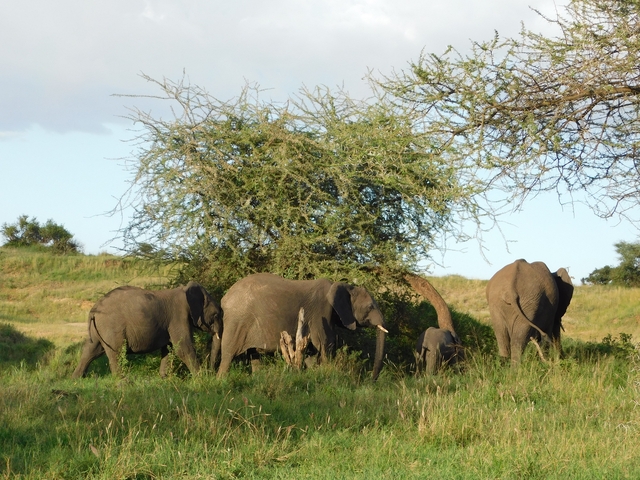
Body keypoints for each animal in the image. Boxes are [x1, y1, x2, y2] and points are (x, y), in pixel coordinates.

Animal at [72, 282, 222, 378]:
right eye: (216, 314)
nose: (212, 373)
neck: (185, 289)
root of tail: (93, 310)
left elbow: (169, 348)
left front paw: (164, 378)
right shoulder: (178, 316)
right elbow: (183, 348)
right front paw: (202, 378)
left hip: (98, 329)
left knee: (91, 350)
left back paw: (76, 379)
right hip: (111, 327)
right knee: (116, 352)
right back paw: (123, 383)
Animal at [216, 273, 388, 380]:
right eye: (370, 307)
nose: (371, 380)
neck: (344, 286)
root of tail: (224, 299)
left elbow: (313, 351)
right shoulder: (321, 313)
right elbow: (326, 344)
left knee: (254, 355)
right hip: (237, 322)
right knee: (228, 354)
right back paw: (221, 380)